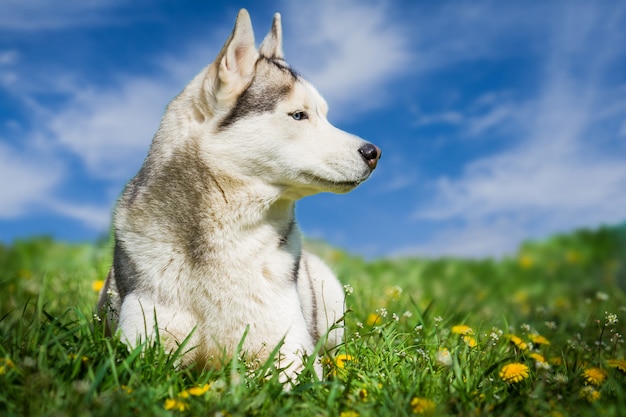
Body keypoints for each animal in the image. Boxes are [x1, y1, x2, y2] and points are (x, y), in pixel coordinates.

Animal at [97, 9, 380, 380]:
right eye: (299, 114)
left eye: (324, 115)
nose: (374, 152)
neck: (227, 235)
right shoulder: (136, 354)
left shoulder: (292, 355)